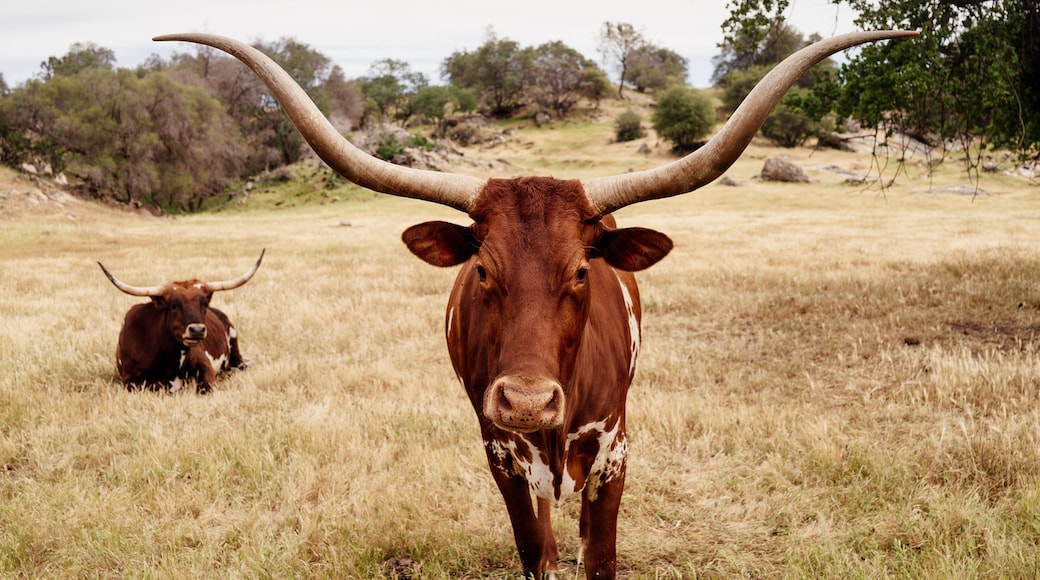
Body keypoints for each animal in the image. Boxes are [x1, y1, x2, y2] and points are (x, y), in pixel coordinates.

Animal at [98, 251, 264, 394]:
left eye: (204, 303)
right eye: (174, 305)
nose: (197, 330)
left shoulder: (206, 366)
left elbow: (204, 388)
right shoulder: (130, 380)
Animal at [155, 30, 916, 577]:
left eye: (581, 270)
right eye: (483, 270)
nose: (525, 401)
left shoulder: (616, 451)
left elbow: (600, 556)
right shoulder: (499, 452)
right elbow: (533, 551)